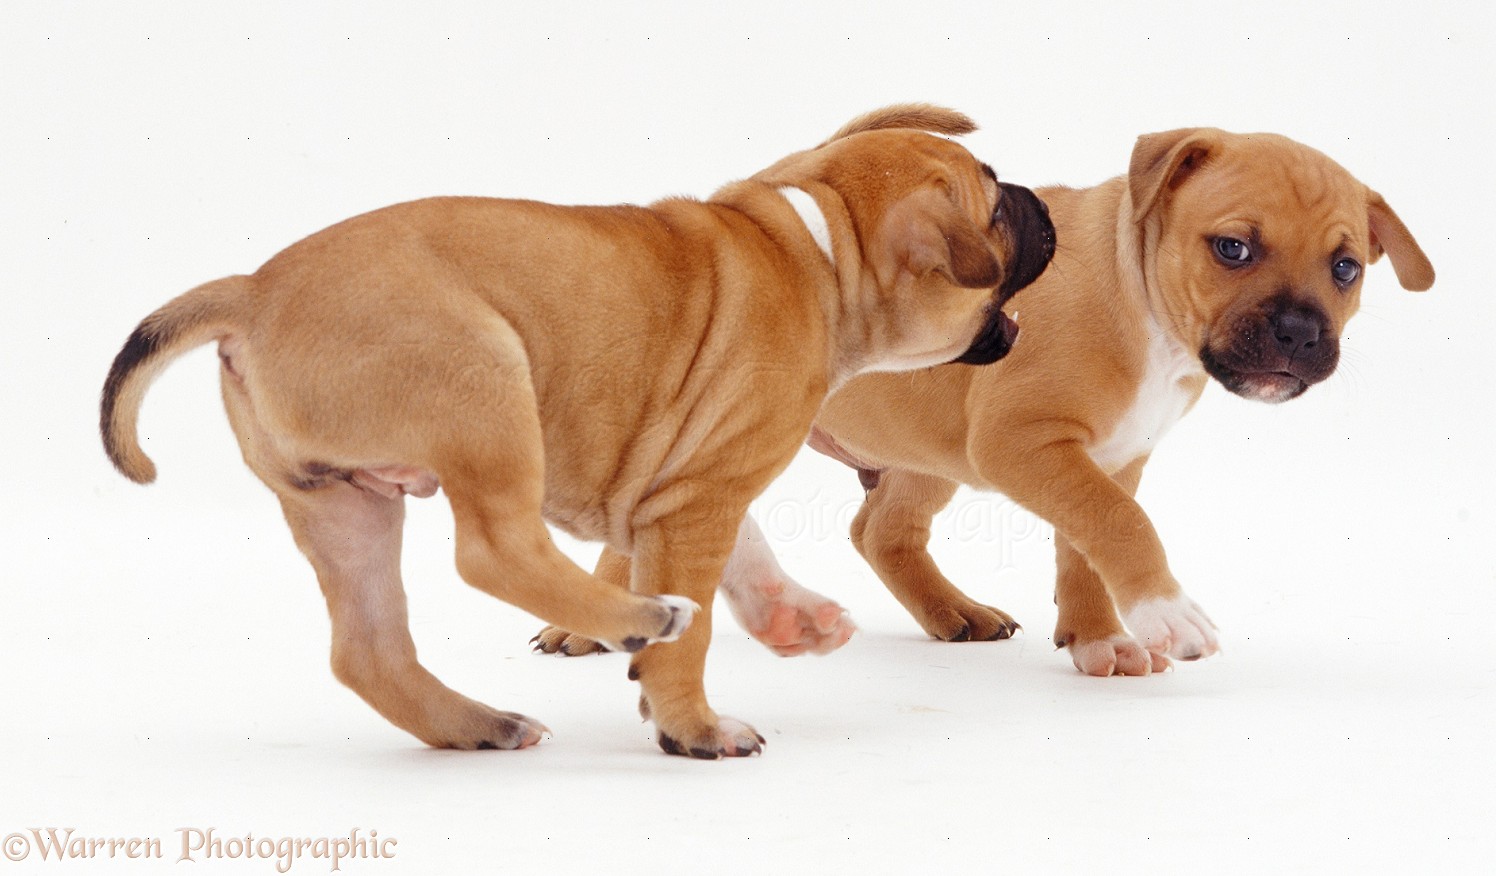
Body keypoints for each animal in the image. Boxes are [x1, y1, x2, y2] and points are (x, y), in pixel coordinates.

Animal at [99, 105, 1059, 753]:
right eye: (995, 206)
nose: (1038, 201)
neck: (823, 252)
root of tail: (251, 292)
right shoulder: (699, 497)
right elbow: (700, 617)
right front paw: (693, 726)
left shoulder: (689, 488)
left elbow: (749, 560)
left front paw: (792, 620)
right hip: (485, 391)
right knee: (495, 552)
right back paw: (637, 617)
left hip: (342, 503)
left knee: (366, 650)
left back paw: (479, 725)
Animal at [544, 131, 1430, 675]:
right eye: (1233, 248)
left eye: (1346, 268)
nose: (1298, 331)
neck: (1141, 301)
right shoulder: (1027, 444)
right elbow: (1119, 525)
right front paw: (1166, 612)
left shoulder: (1106, 458)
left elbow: (1088, 544)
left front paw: (1099, 637)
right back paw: (585, 623)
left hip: (923, 455)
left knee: (881, 530)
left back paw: (951, 612)